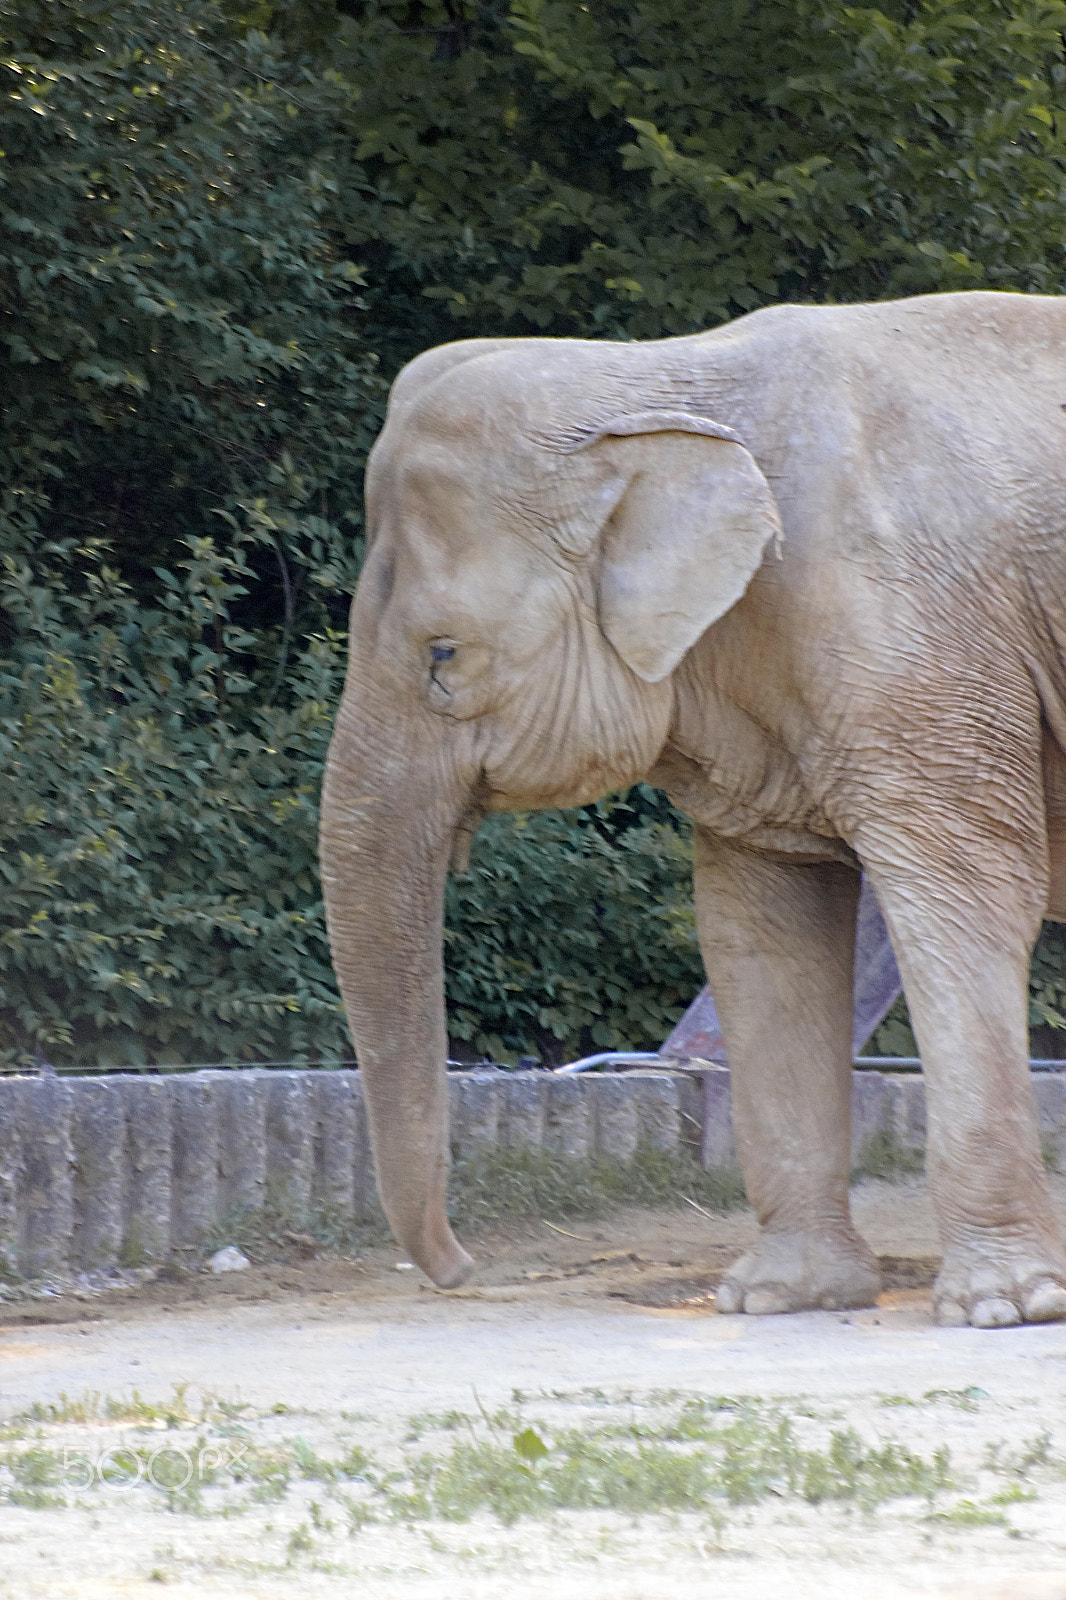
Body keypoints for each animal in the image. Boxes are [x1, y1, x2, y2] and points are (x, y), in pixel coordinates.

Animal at [320, 288, 1066, 1329]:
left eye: (444, 655)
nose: (464, 1269)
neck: (651, 375)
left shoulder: (920, 635)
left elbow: (967, 890)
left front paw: (1003, 1311)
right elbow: (764, 929)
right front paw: (777, 1298)